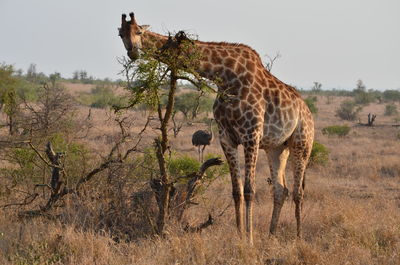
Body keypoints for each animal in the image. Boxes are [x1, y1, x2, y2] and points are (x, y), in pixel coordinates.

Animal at [119, 12, 316, 243]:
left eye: (139, 31)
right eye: (121, 33)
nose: (133, 51)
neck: (225, 76)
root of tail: (307, 111)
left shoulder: (251, 134)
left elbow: (249, 190)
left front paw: (249, 240)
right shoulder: (226, 137)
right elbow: (236, 191)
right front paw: (240, 237)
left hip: (301, 143)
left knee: (297, 191)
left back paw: (298, 237)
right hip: (276, 148)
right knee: (280, 189)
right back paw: (271, 235)